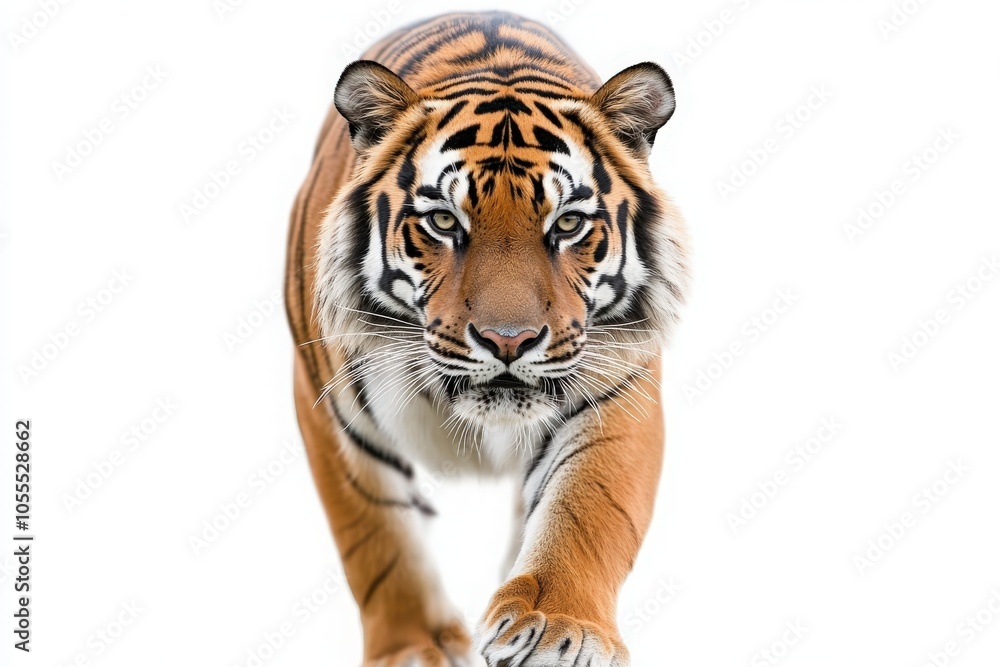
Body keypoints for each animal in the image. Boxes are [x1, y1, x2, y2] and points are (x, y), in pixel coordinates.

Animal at [284, 11, 690, 667]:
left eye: (567, 224)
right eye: (443, 222)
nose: (508, 340)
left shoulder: (618, 385)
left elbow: (587, 509)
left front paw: (555, 625)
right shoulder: (332, 412)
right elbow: (379, 538)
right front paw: (414, 646)